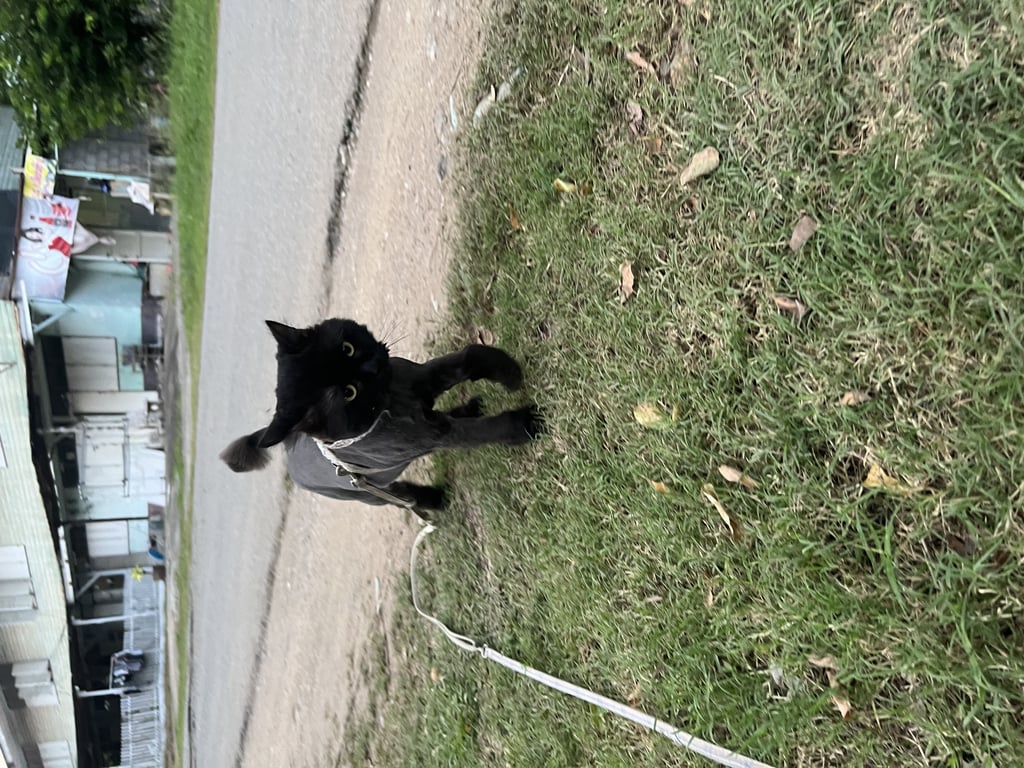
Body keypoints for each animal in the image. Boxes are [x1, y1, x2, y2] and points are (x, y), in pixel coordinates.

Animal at [219, 318, 543, 517]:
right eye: (348, 393)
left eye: (347, 349)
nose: (373, 365)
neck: (393, 400)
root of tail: (289, 447)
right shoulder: (435, 436)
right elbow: (478, 431)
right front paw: (524, 425)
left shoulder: (422, 377)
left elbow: (470, 355)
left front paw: (508, 371)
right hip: (373, 494)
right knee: (405, 497)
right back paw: (434, 500)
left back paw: (465, 408)